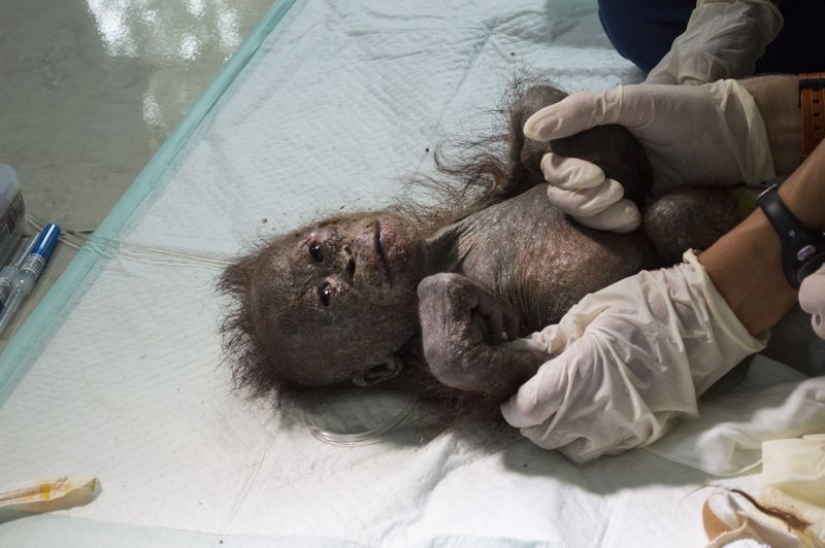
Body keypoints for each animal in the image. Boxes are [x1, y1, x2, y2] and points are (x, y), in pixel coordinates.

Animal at [218, 83, 746, 418]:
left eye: (316, 251)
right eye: (327, 297)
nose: (350, 260)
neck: (437, 253)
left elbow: (611, 160)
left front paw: (550, 143)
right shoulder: (430, 366)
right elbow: (482, 367)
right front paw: (454, 300)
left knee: (661, 211)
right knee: (669, 216)